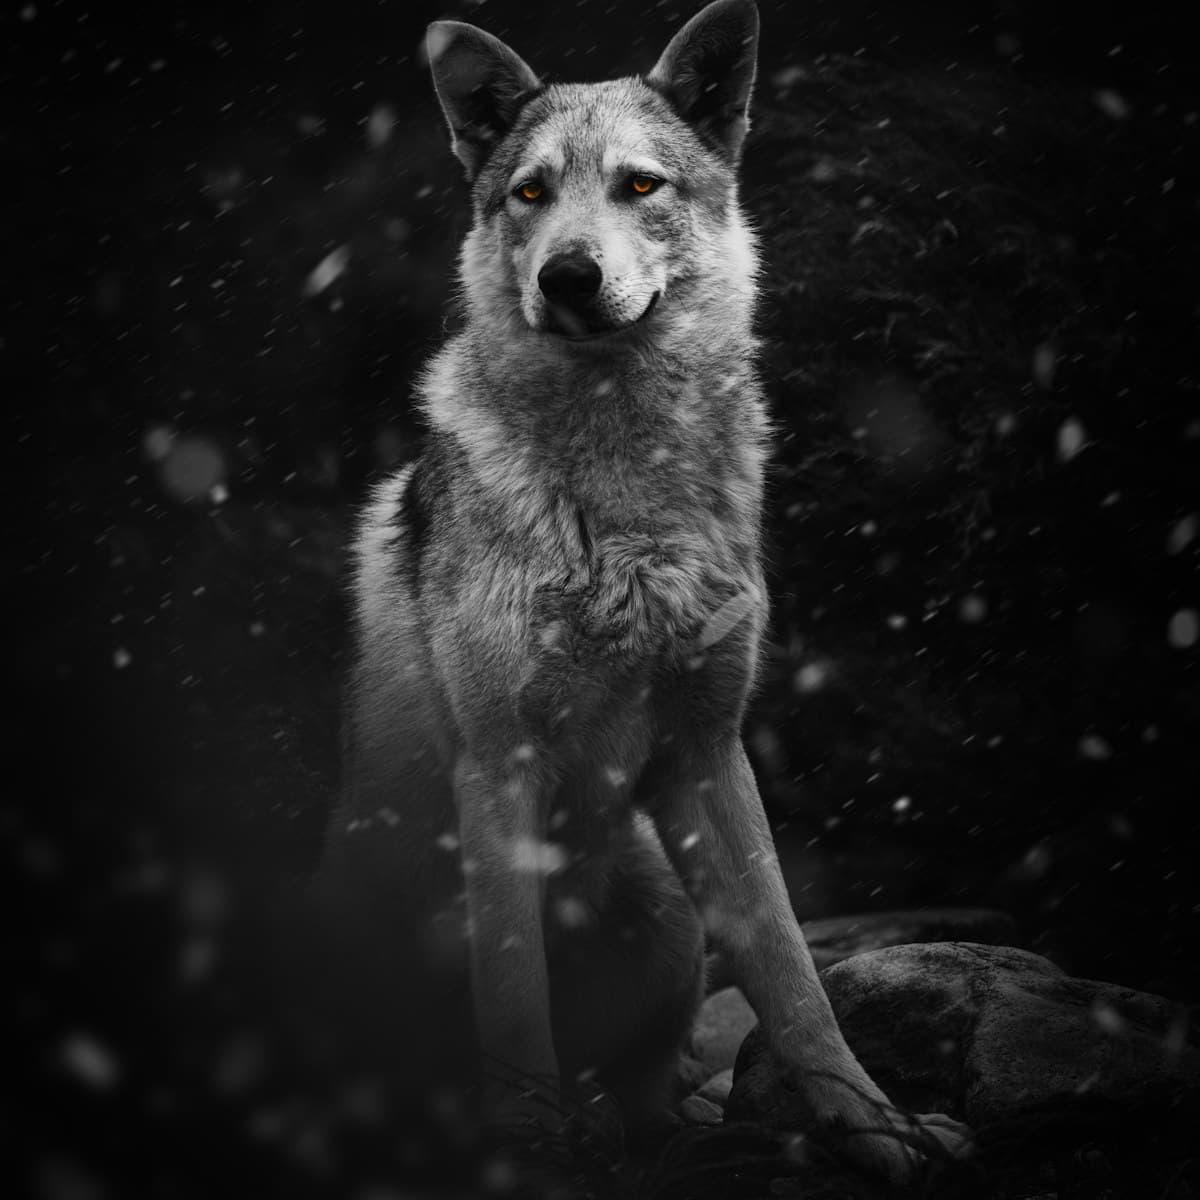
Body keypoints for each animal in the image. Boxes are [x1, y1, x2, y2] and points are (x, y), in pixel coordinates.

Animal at [313, 0, 968, 1183]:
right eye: (531, 193)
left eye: (640, 185)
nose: (569, 275)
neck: (625, 508)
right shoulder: (500, 770)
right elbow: (512, 994)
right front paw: (526, 1147)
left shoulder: (709, 754)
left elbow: (795, 979)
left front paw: (878, 1126)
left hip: (666, 913)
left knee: (652, 1094)